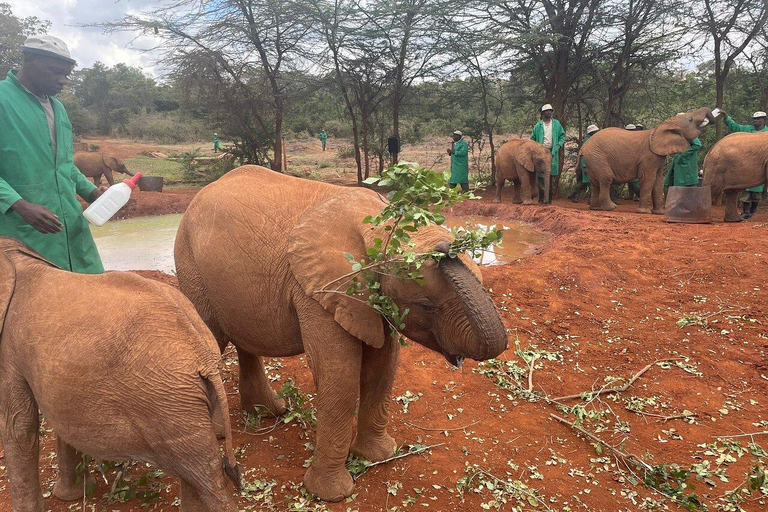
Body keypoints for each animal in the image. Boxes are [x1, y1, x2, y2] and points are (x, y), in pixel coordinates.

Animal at [0, 238, 238, 512]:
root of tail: (203, 353)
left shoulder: (8, 348)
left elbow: (18, 425)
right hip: (182, 397)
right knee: (196, 473)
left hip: (167, 399)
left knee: (205, 473)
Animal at [580, 107, 716, 213]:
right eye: (690, 120)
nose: (717, 113)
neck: (663, 125)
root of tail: (584, 147)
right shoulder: (649, 157)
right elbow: (648, 179)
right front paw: (643, 212)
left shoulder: (658, 157)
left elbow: (658, 181)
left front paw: (659, 213)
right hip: (598, 157)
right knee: (606, 178)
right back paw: (611, 208)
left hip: (593, 159)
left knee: (595, 182)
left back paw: (596, 208)